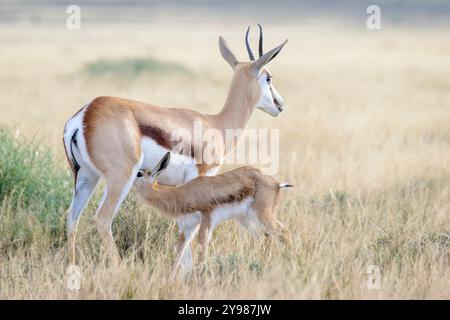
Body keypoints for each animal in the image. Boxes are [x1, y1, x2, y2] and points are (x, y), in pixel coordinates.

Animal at [62, 24, 288, 264]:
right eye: (268, 78)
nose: (280, 105)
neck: (216, 123)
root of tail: (85, 114)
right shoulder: (200, 178)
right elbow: (190, 232)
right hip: (121, 177)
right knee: (103, 218)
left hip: (86, 177)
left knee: (72, 217)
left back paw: (72, 267)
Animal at [133, 152, 292, 276]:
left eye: (139, 173)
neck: (182, 193)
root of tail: (276, 183)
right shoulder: (190, 225)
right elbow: (180, 247)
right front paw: (170, 278)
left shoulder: (207, 218)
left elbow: (202, 243)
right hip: (247, 220)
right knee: (266, 237)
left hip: (262, 216)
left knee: (284, 232)